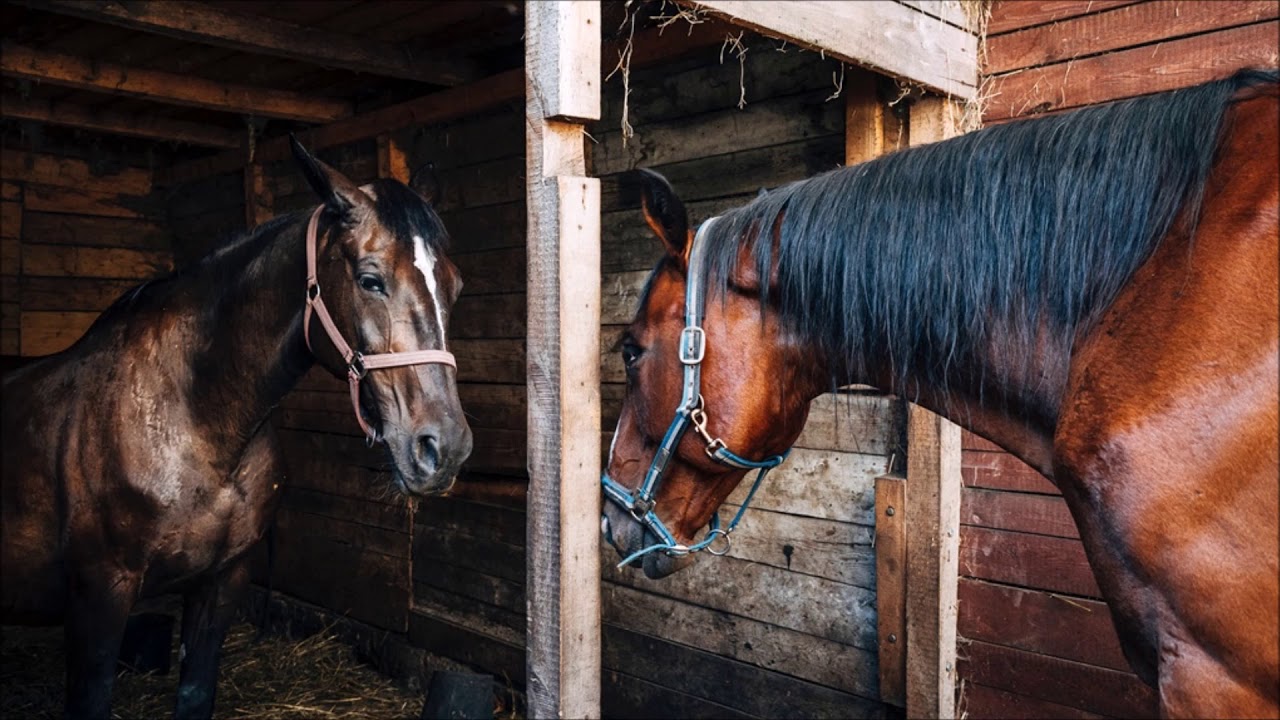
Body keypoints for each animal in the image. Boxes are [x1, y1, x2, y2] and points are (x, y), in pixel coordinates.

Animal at [1, 138, 473, 719]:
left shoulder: (222, 583)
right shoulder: (99, 596)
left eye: (455, 286)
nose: (444, 449)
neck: (197, 419)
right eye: (369, 278)